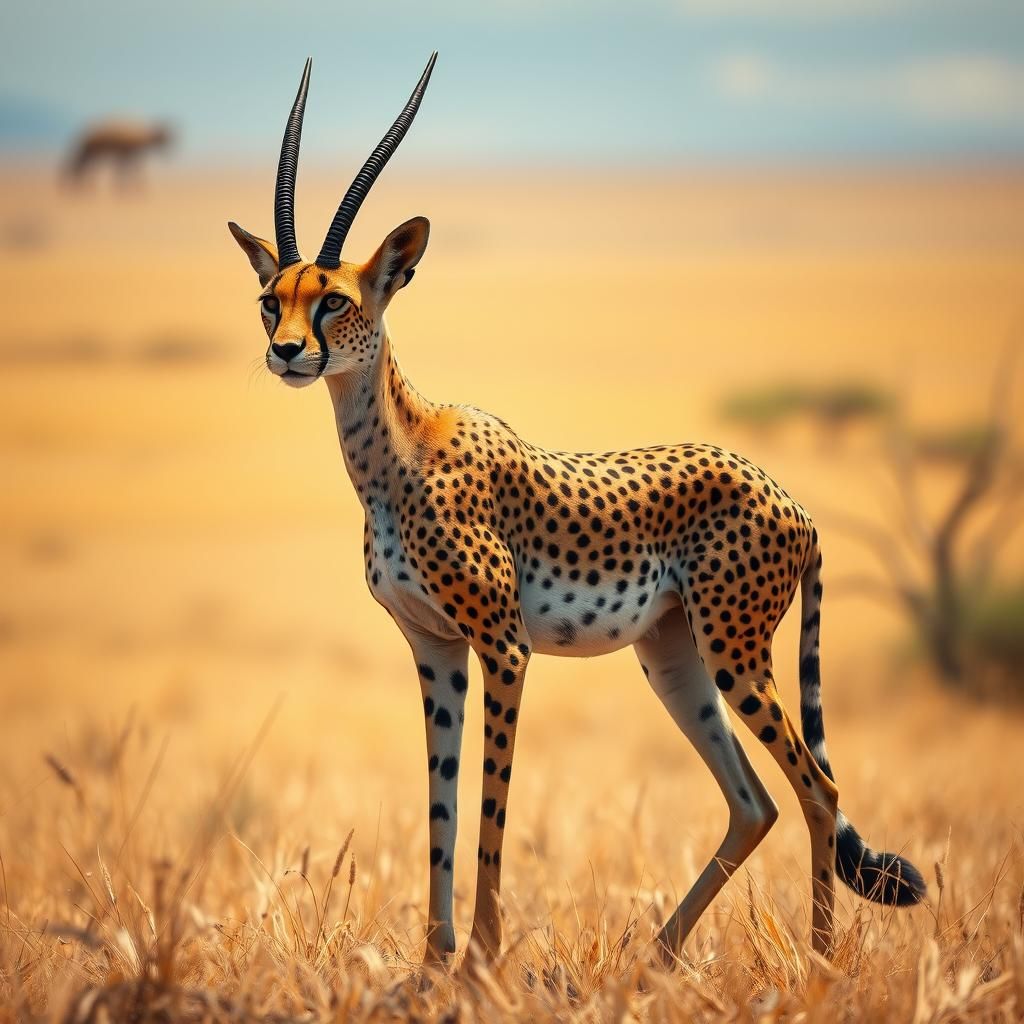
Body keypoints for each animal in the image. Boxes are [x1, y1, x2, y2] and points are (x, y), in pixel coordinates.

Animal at [228, 54, 925, 968]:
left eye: (336, 300)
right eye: (271, 298)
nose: (286, 352)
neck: (393, 456)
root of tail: (790, 498)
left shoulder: (503, 645)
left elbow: (490, 810)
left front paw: (481, 961)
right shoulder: (434, 649)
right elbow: (441, 806)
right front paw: (432, 962)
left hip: (735, 649)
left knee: (818, 787)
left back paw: (815, 963)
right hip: (674, 654)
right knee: (754, 802)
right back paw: (656, 960)